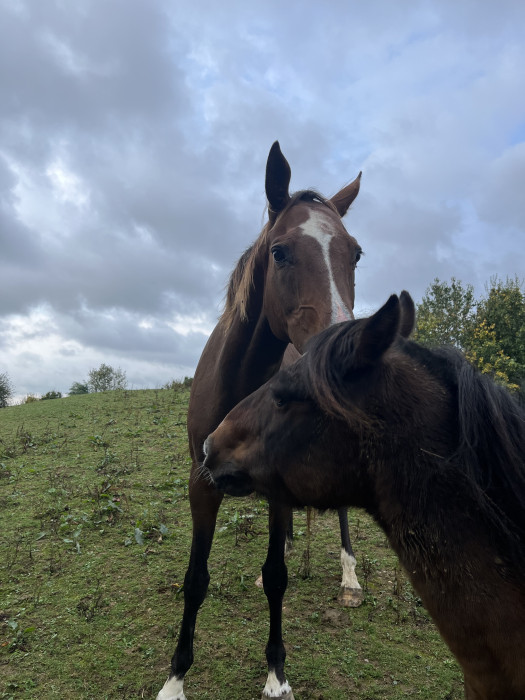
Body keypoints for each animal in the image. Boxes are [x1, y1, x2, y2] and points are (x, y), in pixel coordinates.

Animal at [157, 142, 364, 700]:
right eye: (280, 252)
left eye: (355, 254)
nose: (345, 356)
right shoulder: (201, 482)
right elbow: (196, 579)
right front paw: (175, 678)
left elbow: (277, 577)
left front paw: (276, 675)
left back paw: (350, 578)